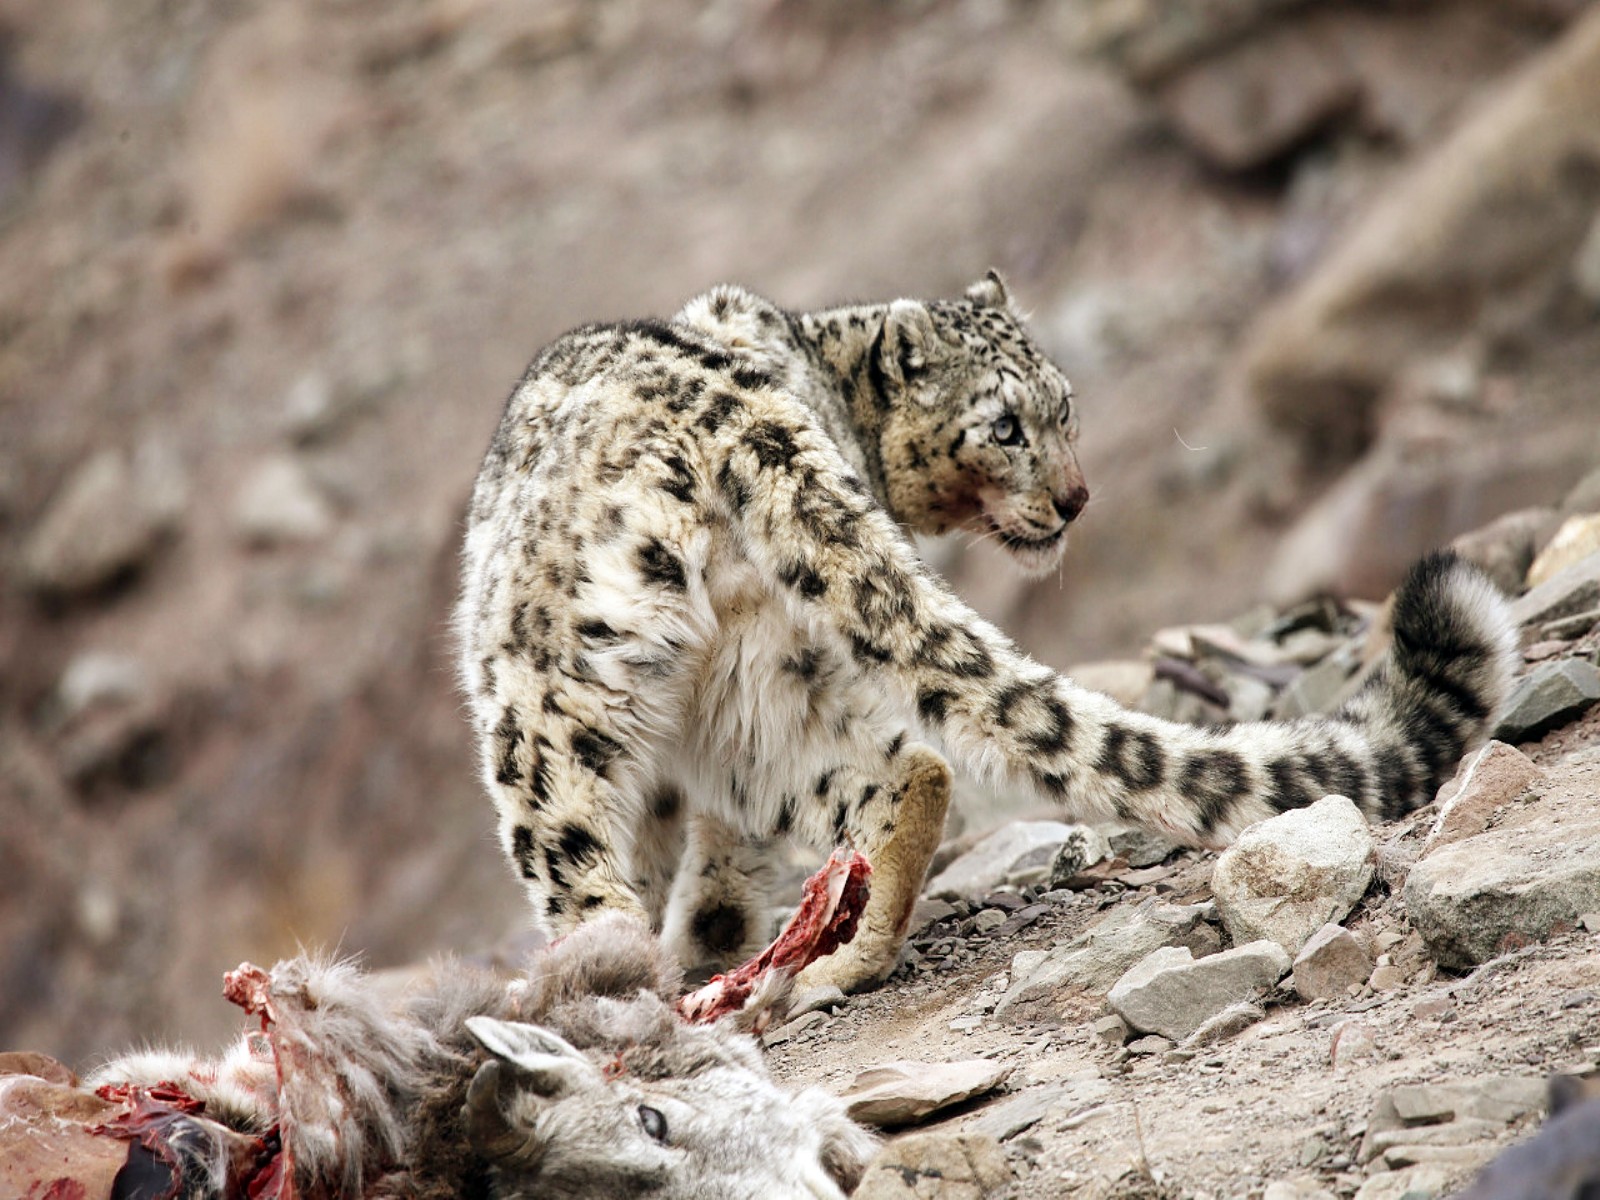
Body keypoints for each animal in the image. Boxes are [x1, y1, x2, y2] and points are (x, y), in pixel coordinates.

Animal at [457, 270, 1516, 995]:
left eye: (1065, 411)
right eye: (1007, 426)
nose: (1077, 497)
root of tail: (737, 413)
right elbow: (713, 859)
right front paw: (716, 941)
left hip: (550, 705)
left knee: (581, 866)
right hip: (748, 689)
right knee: (907, 772)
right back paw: (846, 961)